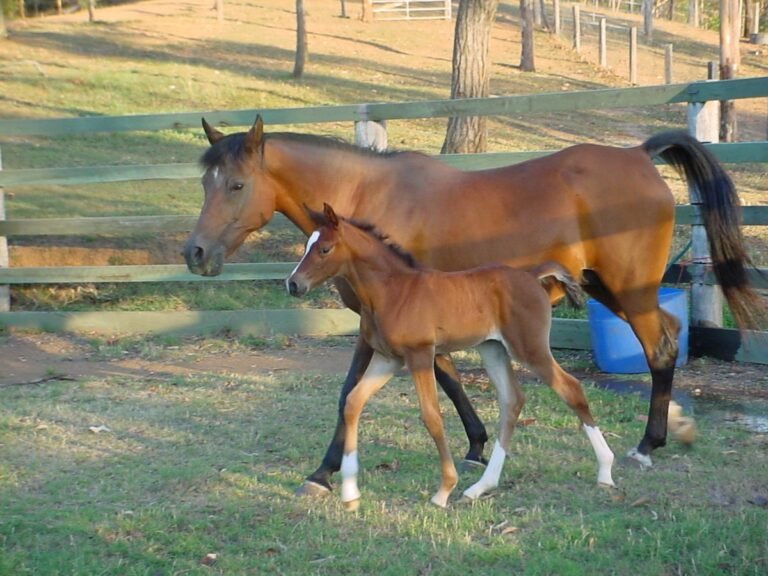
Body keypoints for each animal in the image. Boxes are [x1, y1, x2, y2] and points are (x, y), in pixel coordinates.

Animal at [285, 203, 615, 509]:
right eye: (308, 244)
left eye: (325, 249)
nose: (293, 284)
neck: (394, 291)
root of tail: (531, 275)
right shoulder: (387, 358)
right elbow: (353, 402)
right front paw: (350, 493)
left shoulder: (419, 354)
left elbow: (431, 416)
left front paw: (443, 490)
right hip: (493, 348)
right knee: (512, 401)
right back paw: (480, 487)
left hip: (529, 348)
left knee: (571, 388)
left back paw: (605, 471)